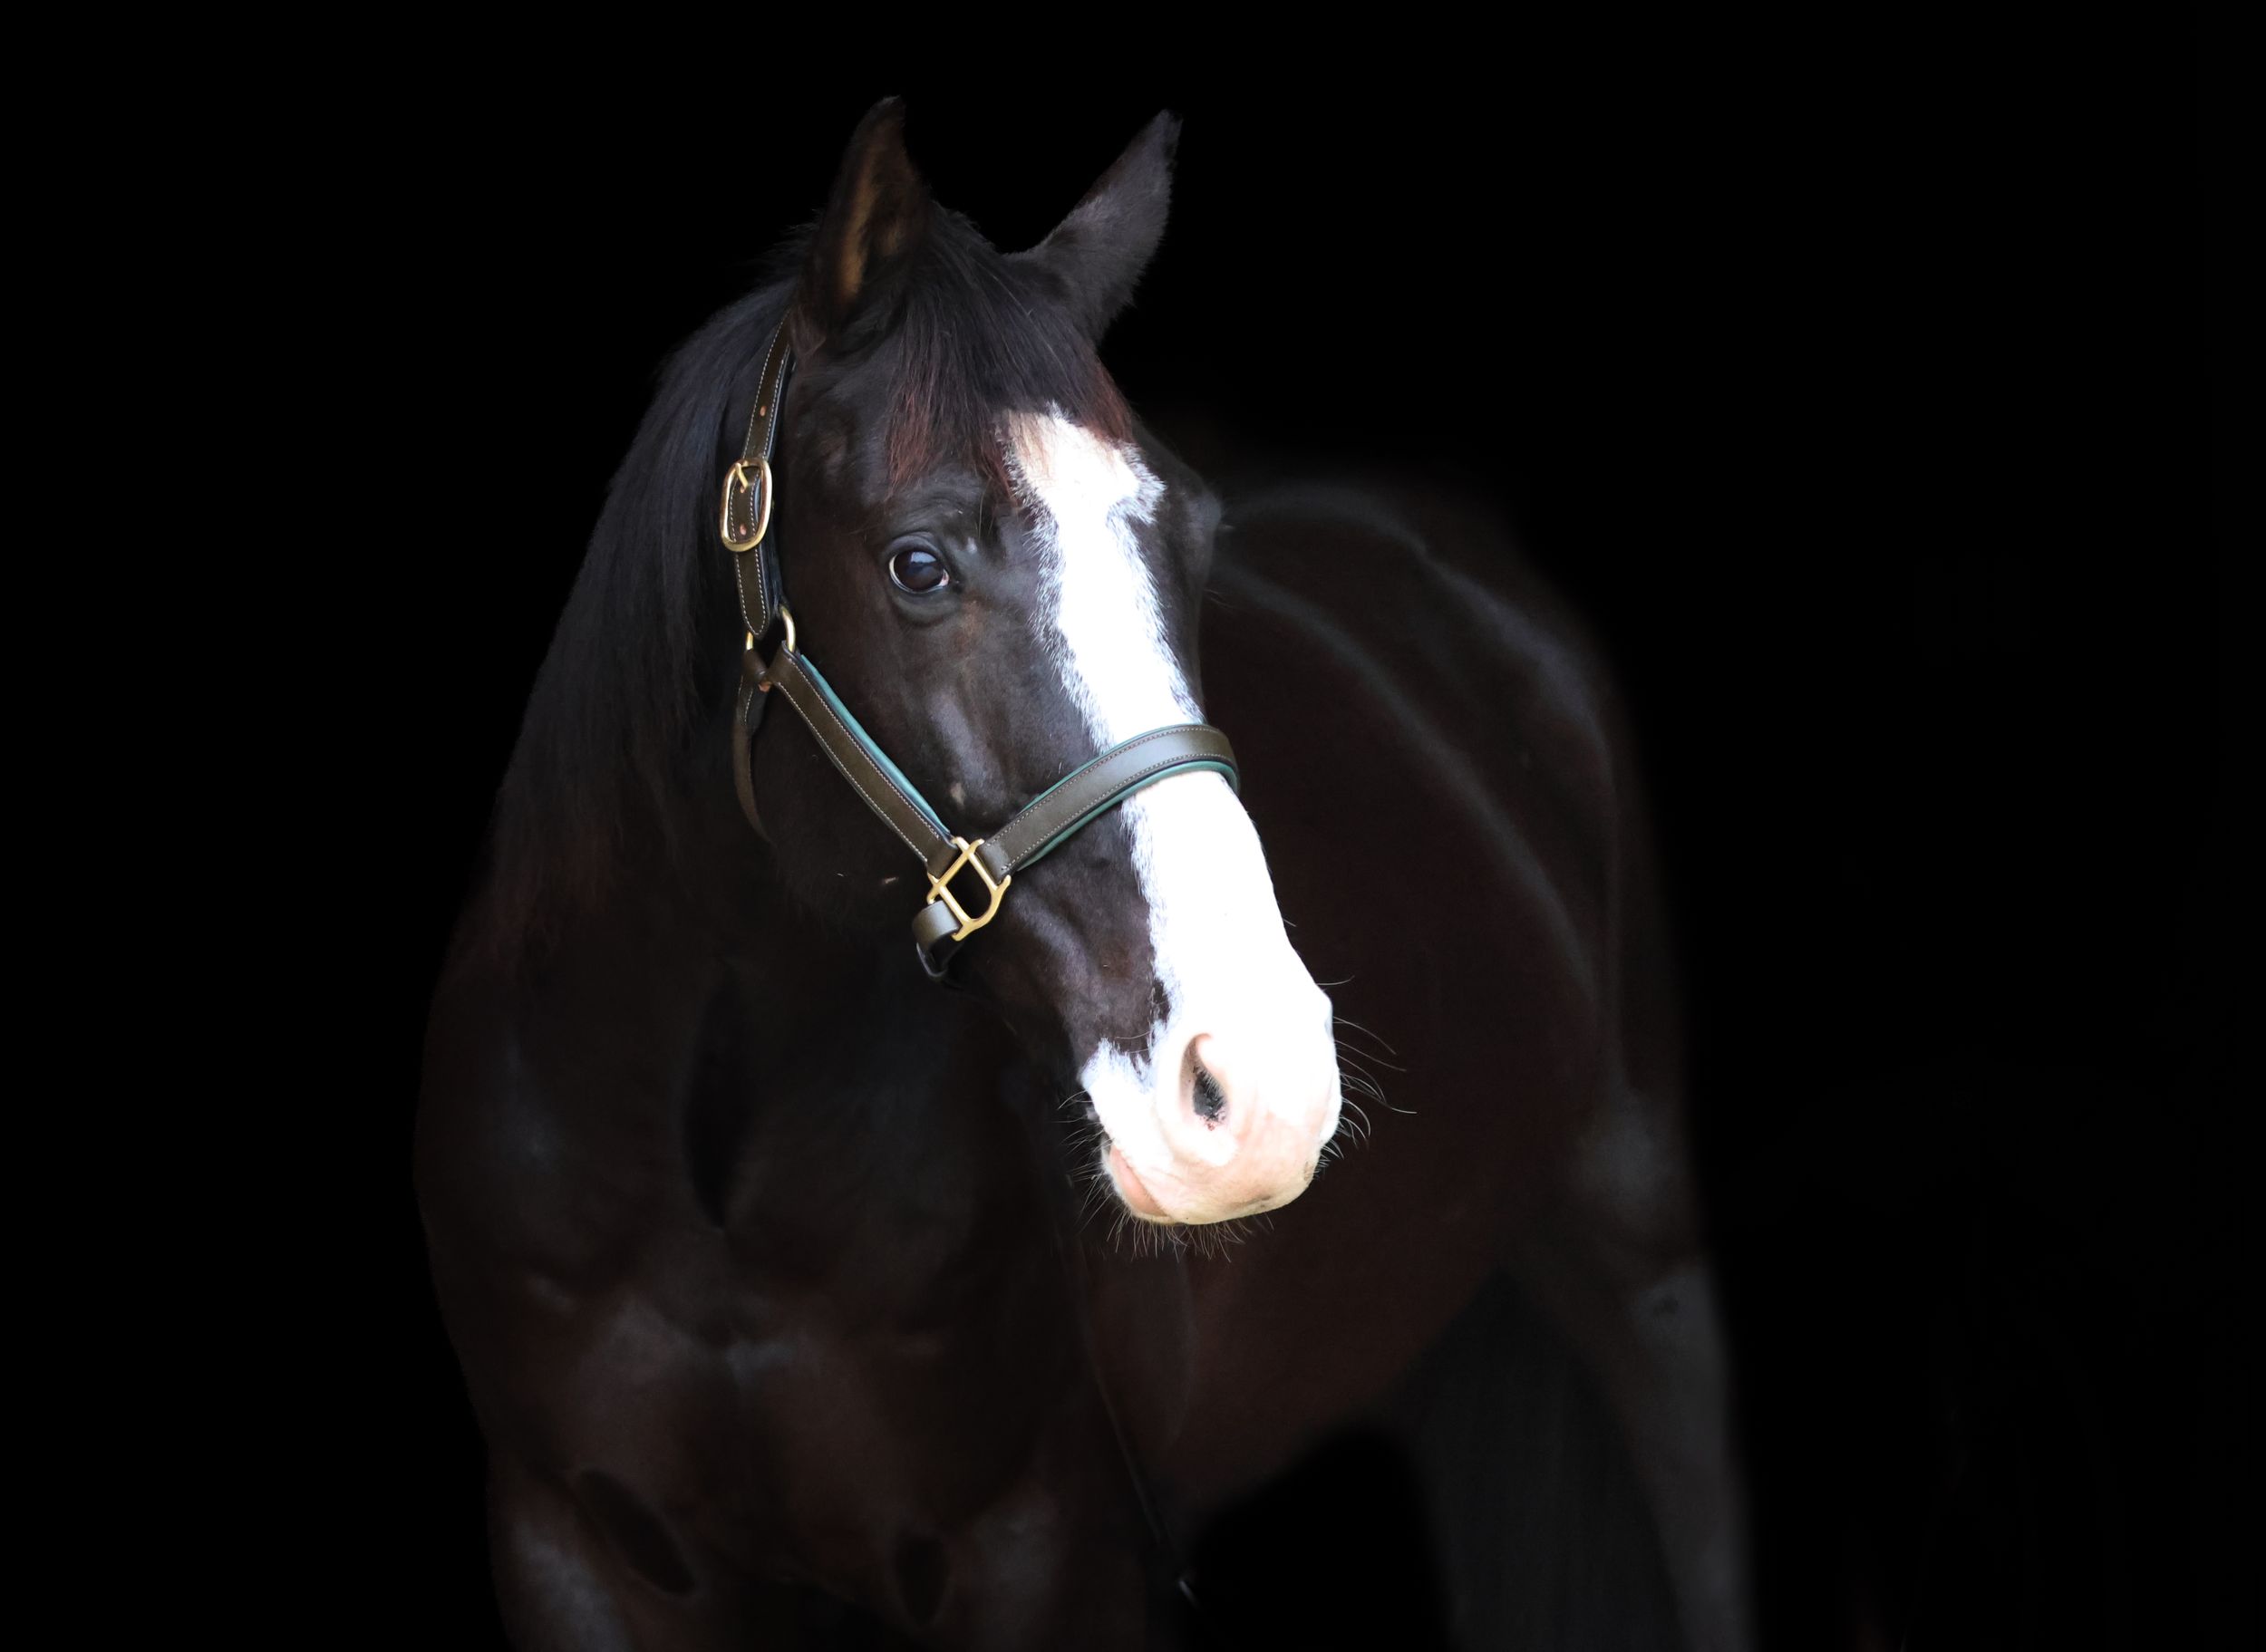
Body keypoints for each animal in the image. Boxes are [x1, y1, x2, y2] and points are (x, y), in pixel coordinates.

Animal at [416, 100, 1751, 1650]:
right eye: (918, 562)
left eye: (1194, 536)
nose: (1261, 1088)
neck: (703, 1172)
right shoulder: (573, 1549)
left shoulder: (1043, 1553)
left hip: (1643, 1259)